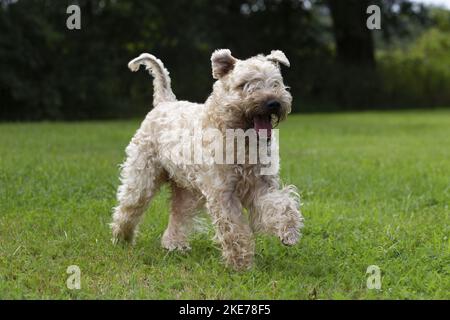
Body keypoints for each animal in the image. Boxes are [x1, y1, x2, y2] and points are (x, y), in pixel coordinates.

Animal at [110, 49, 304, 270]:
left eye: (276, 82)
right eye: (243, 84)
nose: (273, 103)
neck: (239, 140)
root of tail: (164, 102)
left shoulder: (261, 185)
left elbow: (282, 204)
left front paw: (289, 232)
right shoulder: (223, 193)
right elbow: (234, 229)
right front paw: (240, 265)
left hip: (186, 190)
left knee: (178, 215)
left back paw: (174, 245)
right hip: (142, 178)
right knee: (129, 207)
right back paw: (122, 239)